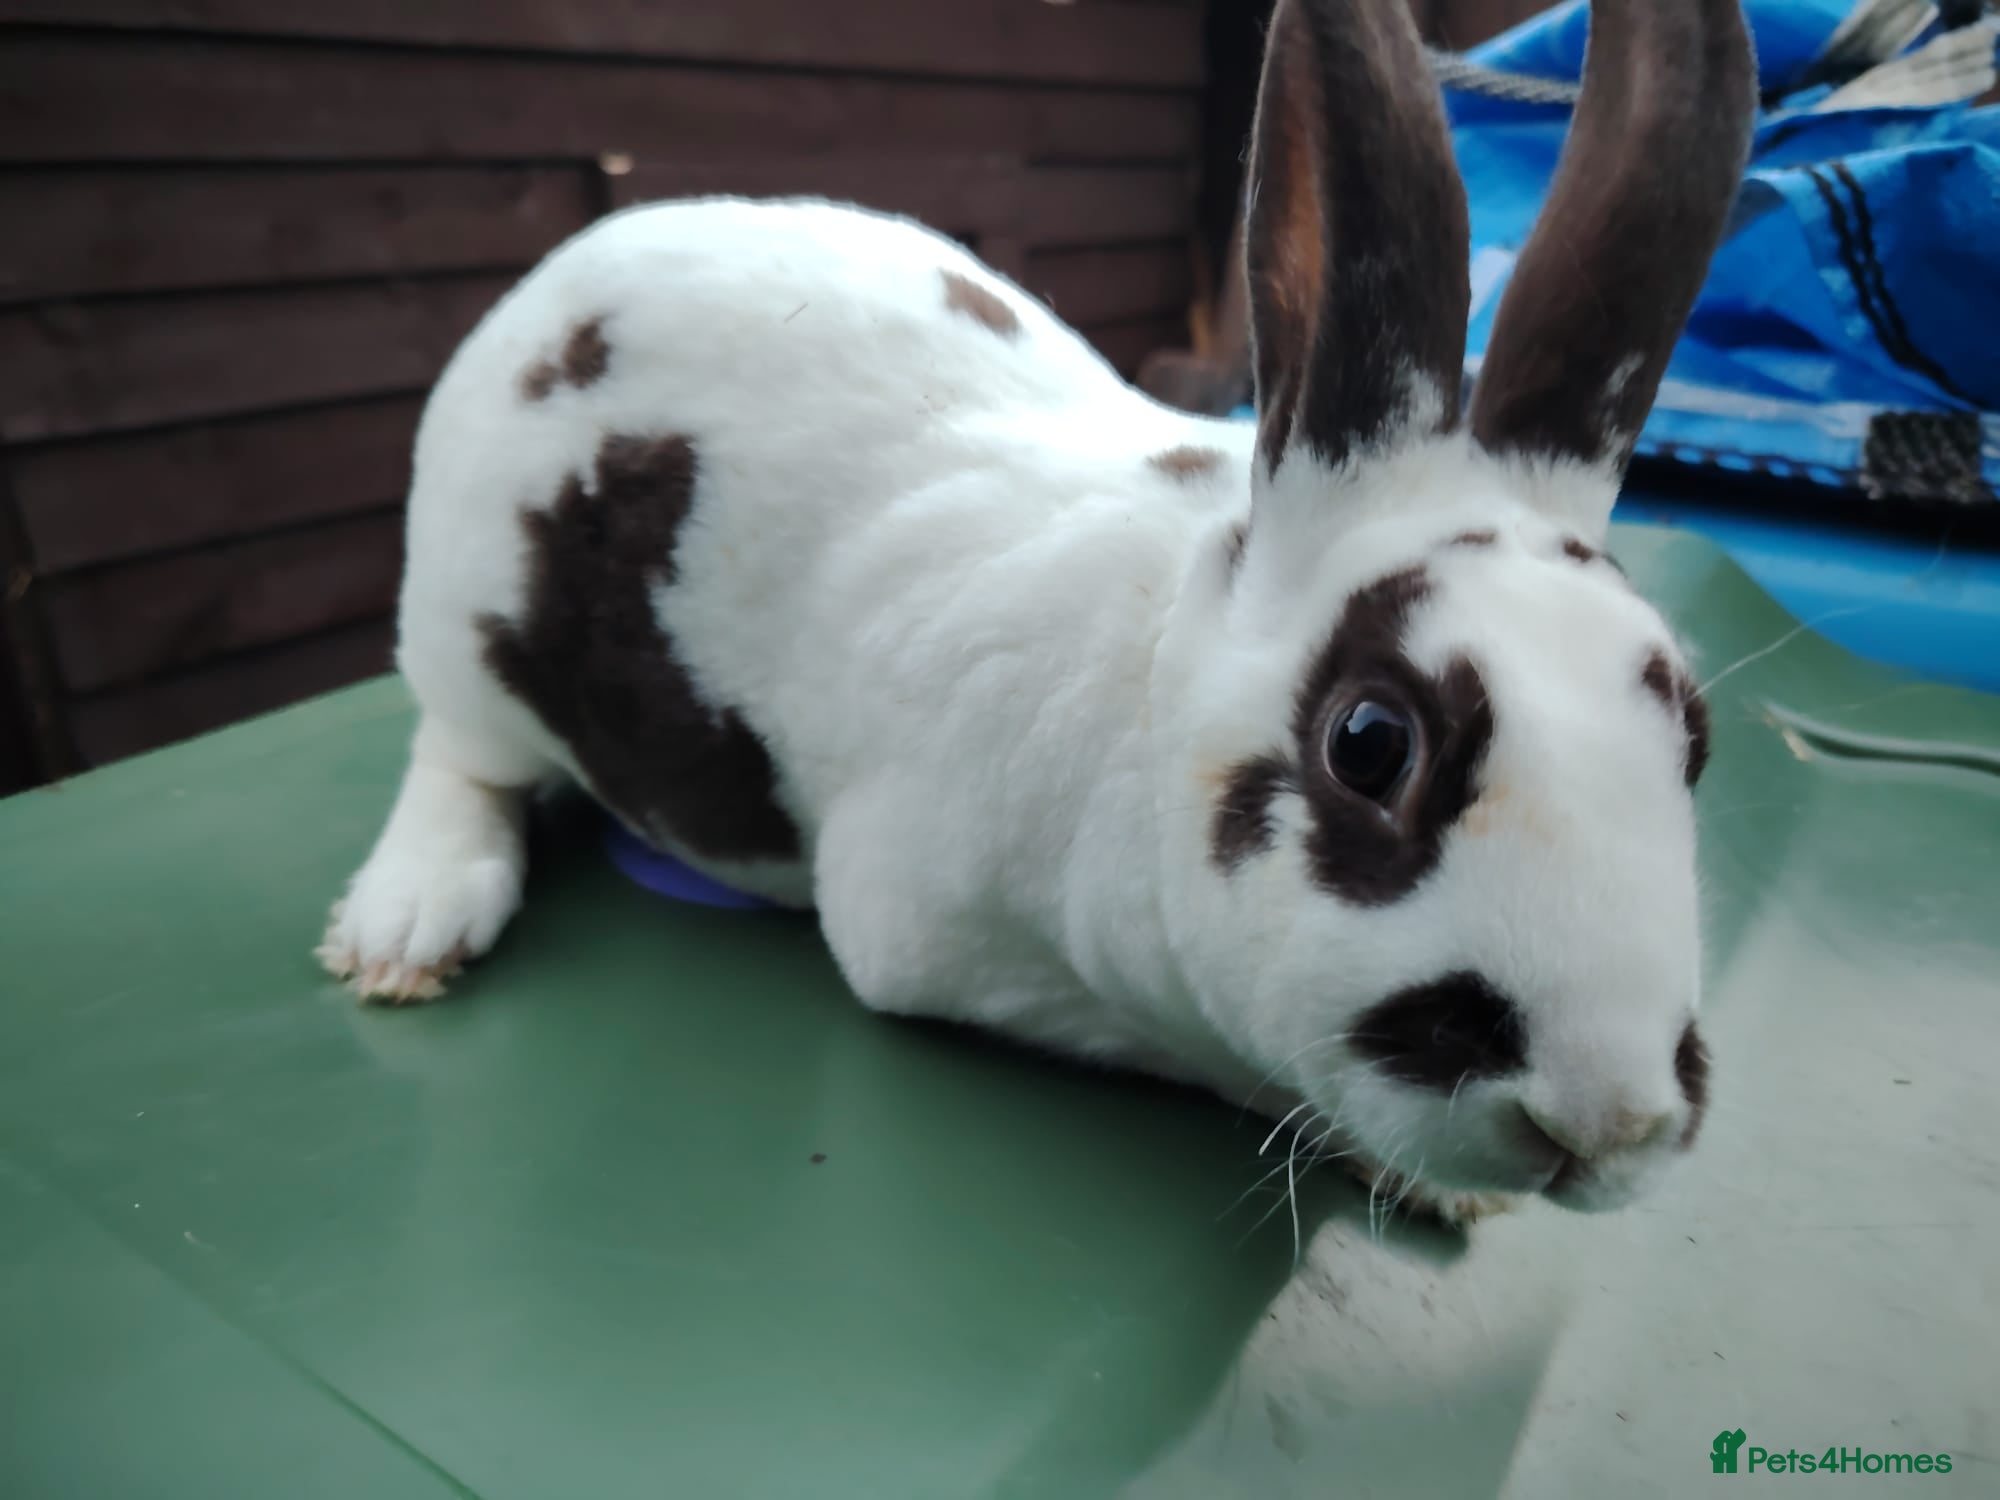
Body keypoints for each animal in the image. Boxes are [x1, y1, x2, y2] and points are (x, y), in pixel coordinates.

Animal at [318, 0, 1756, 1224]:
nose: (1610, 1118)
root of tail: (561, 275)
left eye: (1693, 739)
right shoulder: (936, 942)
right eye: (1369, 743)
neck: (1146, 688)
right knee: (456, 754)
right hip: (465, 633)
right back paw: (407, 927)